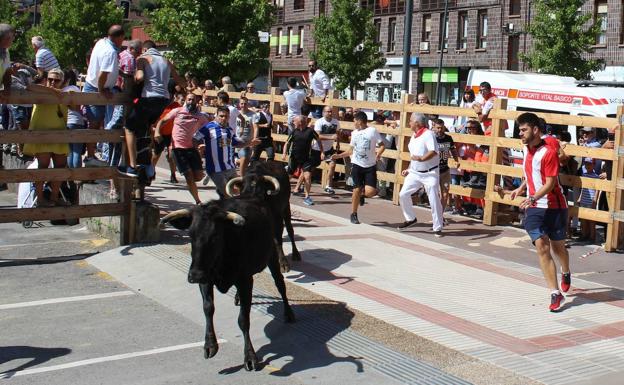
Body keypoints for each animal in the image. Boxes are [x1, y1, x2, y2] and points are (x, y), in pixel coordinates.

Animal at [162, 198, 296, 368]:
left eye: (215, 236)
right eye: (191, 235)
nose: (195, 275)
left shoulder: (245, 281)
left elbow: (243, 319)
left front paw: (250, 356)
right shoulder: (206, 279)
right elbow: (208, 308)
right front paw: (210, 345)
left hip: (272, 256)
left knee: (280, 284)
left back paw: (289, 313)